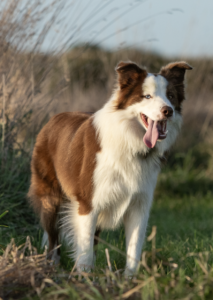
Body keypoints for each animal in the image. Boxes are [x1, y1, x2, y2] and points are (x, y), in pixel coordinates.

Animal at [27, 59, 192, 276]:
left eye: (171, 96)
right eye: (147, 96)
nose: (168, 111)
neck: (130, 143)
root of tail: (53, 119)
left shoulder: (139, 205)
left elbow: (133, 248)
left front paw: (129, 279)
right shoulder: (88, 202)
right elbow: (84, 249)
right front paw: (84, 279)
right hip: (50, 197)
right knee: (53, 236)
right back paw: (51, 266)